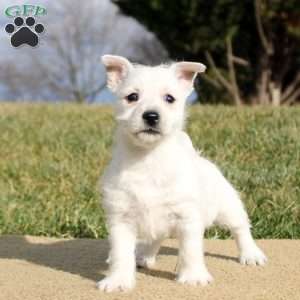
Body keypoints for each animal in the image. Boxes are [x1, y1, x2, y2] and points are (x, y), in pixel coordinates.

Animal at [96, 55, 268, 292]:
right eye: (132, 97)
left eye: (170, 98)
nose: (151, 116)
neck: (149, 158)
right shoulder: (121, 218)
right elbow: (121, 253)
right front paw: (118, 280)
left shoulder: (188, 217)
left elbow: (190, 250)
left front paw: (193, 276)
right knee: (154, 239)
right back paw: (144, 256)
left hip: (228, 207)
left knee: (241, 228)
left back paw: (251, 254)